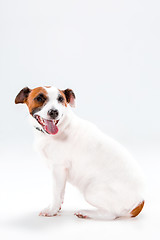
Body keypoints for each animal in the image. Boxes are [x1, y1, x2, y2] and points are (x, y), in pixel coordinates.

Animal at [15, 86, 145, 219]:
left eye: (61, 99)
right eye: (39, 98)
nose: (54, 112)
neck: (61, 126)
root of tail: (140, 202)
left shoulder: (58, 169)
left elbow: (56, 192)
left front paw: (52, 210)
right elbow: (61, 193)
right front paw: (58, 207)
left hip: (91, 191)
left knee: (110, 214)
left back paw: (85, 213)